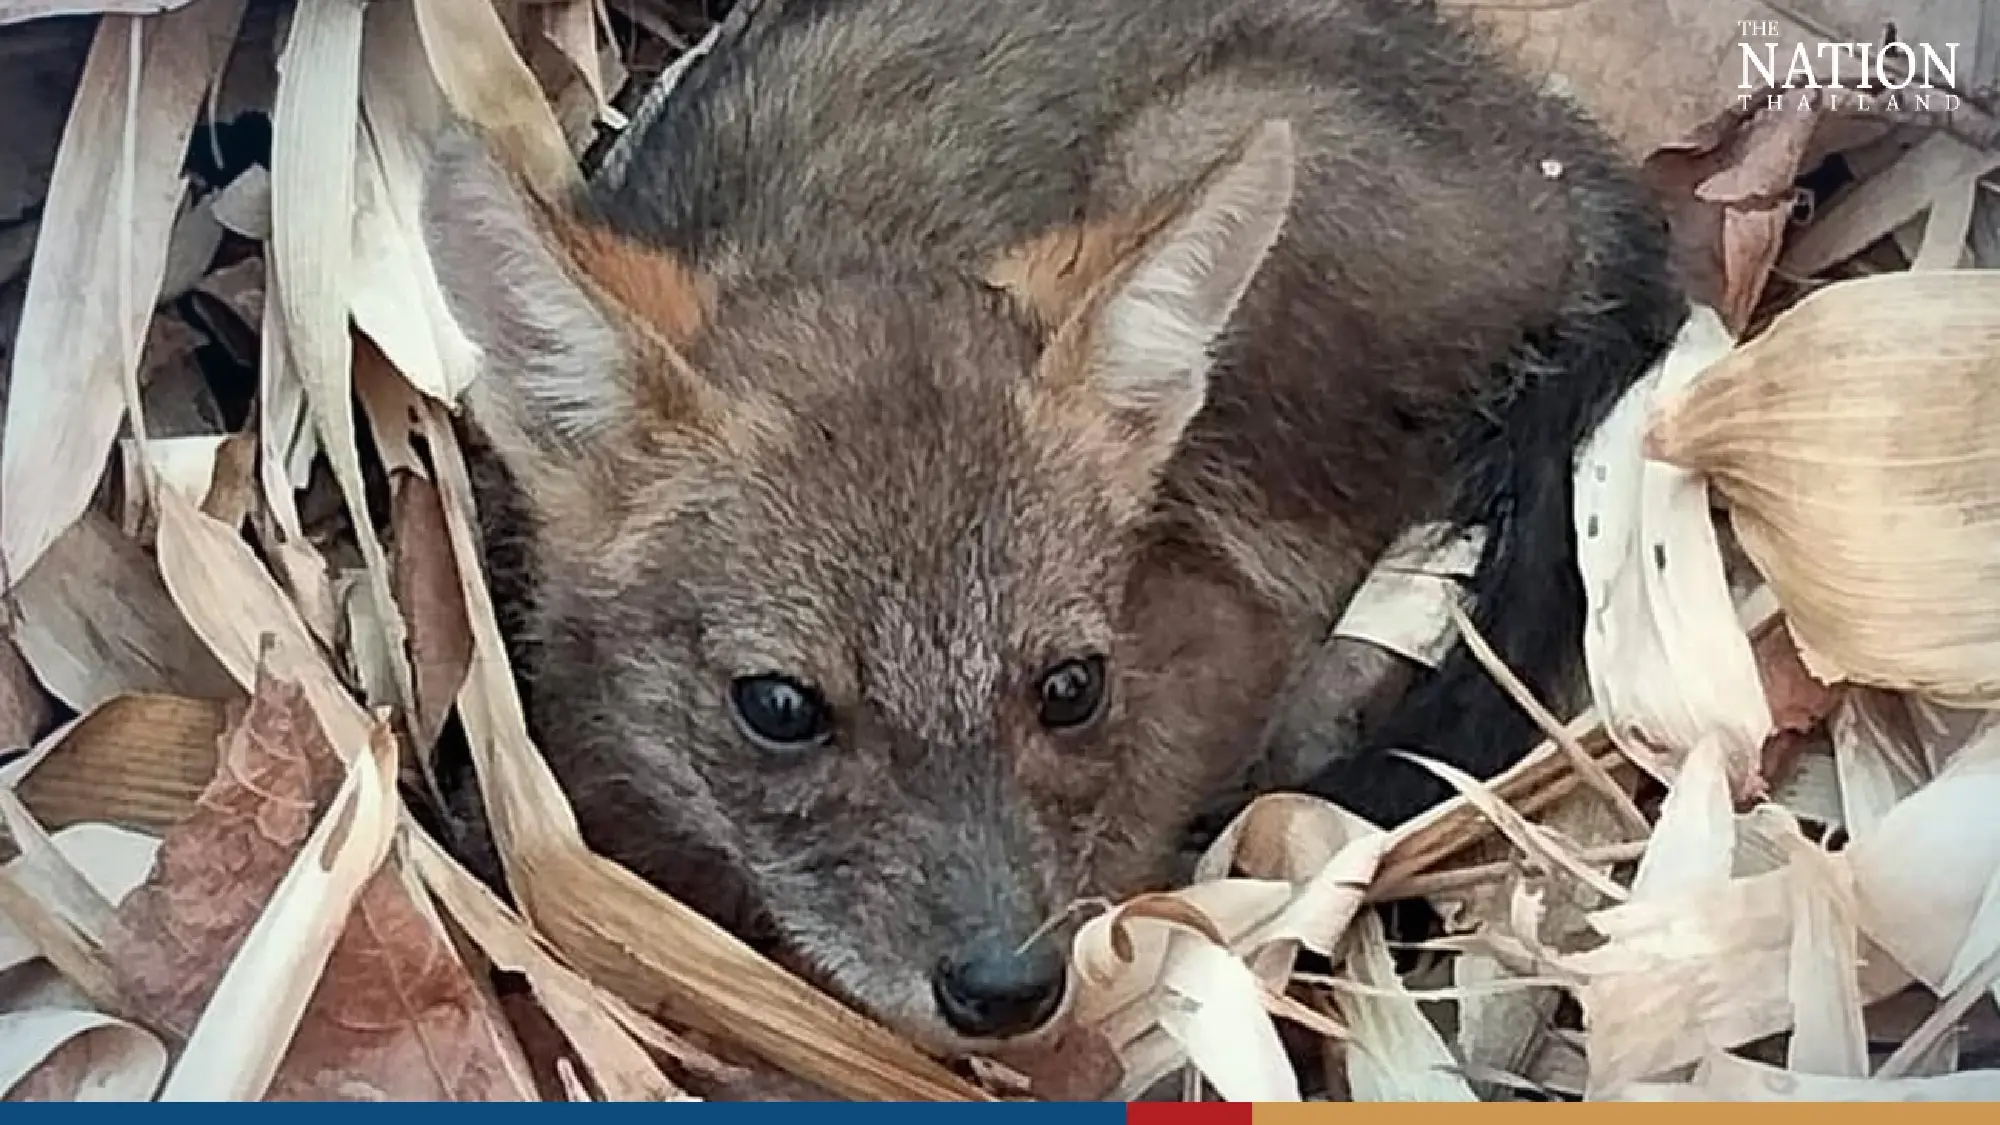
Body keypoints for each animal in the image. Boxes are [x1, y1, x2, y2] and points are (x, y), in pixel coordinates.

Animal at [420, 0, 1683, 1069]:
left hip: (1187, 170)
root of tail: (1570, 169)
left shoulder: (1203, 640)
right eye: (777, 706)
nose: (1004, 988)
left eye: (1070, 687)